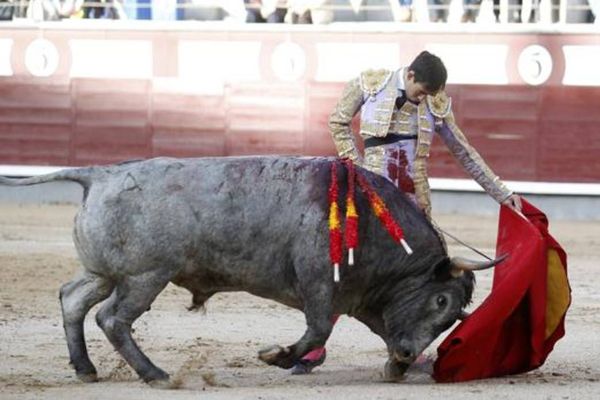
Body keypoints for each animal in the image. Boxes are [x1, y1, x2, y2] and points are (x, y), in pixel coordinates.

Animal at [0, 157, 502, 388]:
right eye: (441, 300)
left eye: (451, 317)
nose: (407, 353)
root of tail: (99, 174)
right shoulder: (321, 285)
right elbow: (318, 329)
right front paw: (277, 356)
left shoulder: (365, 300)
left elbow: (375, 327)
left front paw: (394, 368)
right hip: (146, 276)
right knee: (113, 318)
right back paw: (155, 374)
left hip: (103, 271)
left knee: (72, 299)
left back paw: (86, 369)